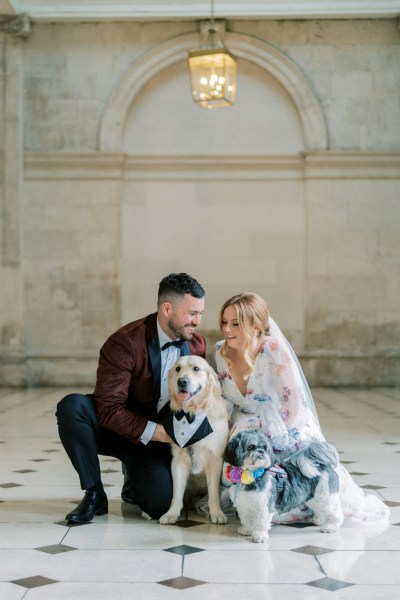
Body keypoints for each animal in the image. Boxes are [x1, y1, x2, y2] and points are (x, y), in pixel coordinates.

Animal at [159, 356, 228, 524]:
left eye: (196, 369)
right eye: (178, 368)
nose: (182, 381)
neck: (192, 413)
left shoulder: (215, 459)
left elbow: (213, 493)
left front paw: (217, 513)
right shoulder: (178, 460)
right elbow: (176, 493)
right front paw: (171, 513)